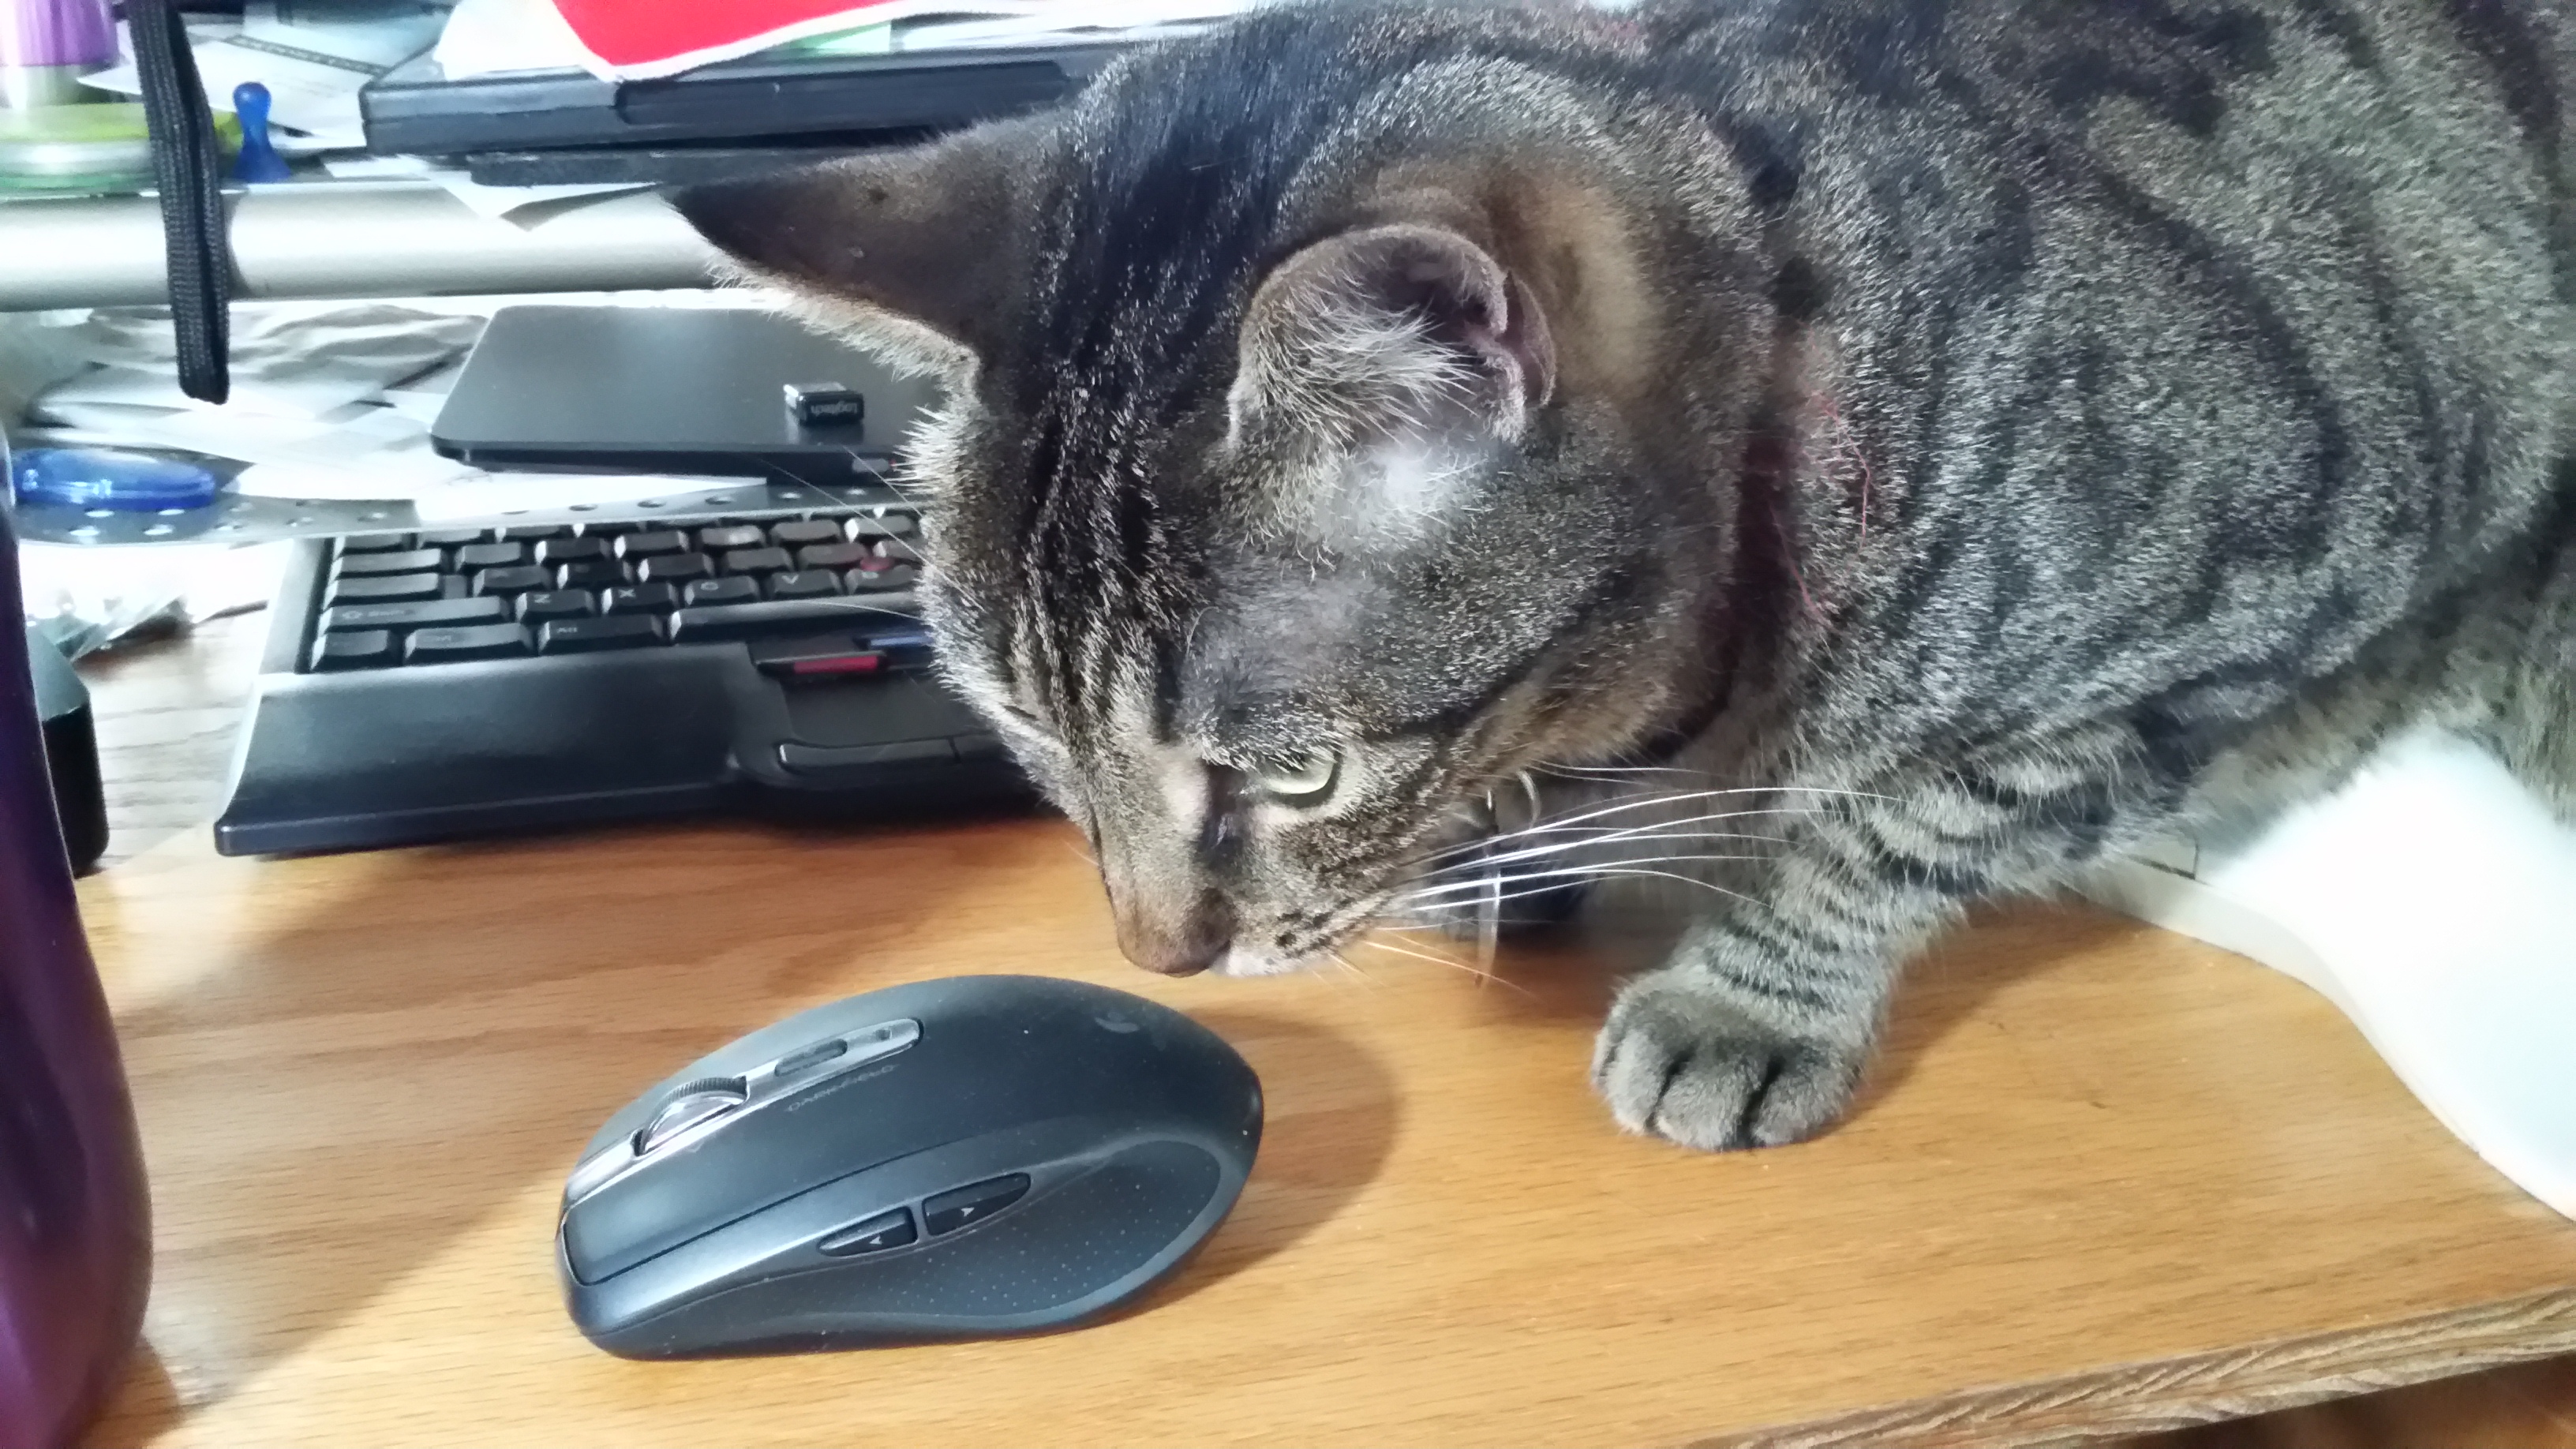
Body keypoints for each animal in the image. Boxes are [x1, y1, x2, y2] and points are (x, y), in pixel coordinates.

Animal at [680, 0, 2576, 1150]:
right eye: (1035, 740)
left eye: (1298, 772)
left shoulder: (2245, 603)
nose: (1159, 963)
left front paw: (1746, 993)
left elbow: (1902, 821)